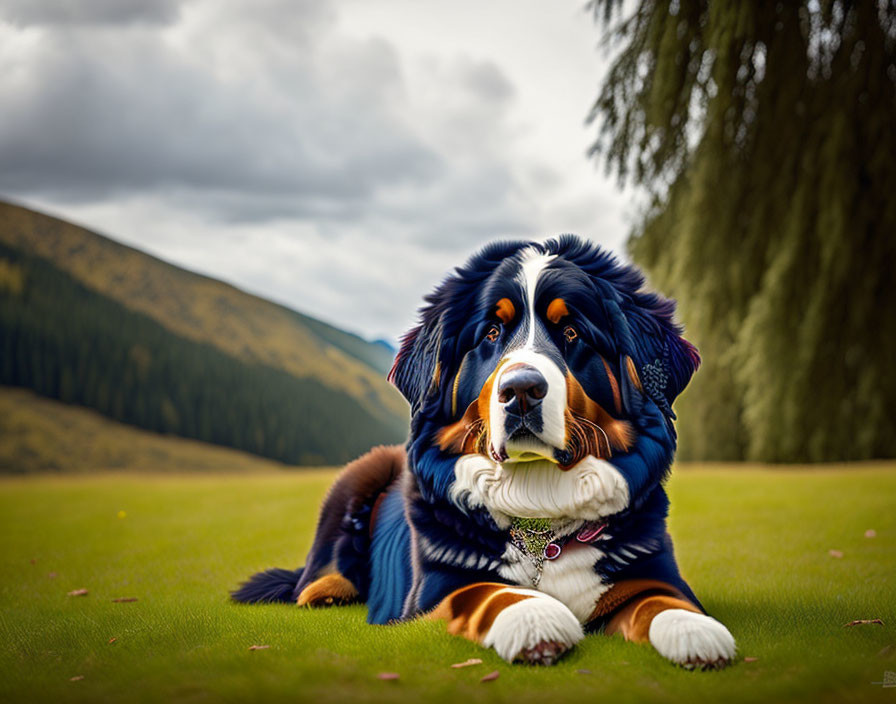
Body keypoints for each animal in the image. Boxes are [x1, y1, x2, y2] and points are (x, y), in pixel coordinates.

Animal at [233, 236, 736, 672]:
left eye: (572, 331)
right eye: (492, 332)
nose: (522, 390)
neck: (539, 510)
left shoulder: (650, 571)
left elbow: (660, 599)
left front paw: (693, 630)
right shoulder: (436, 590)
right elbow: (489, 591)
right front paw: (537, 619)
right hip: (361, 473)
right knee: (318, 574)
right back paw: (328, 591)